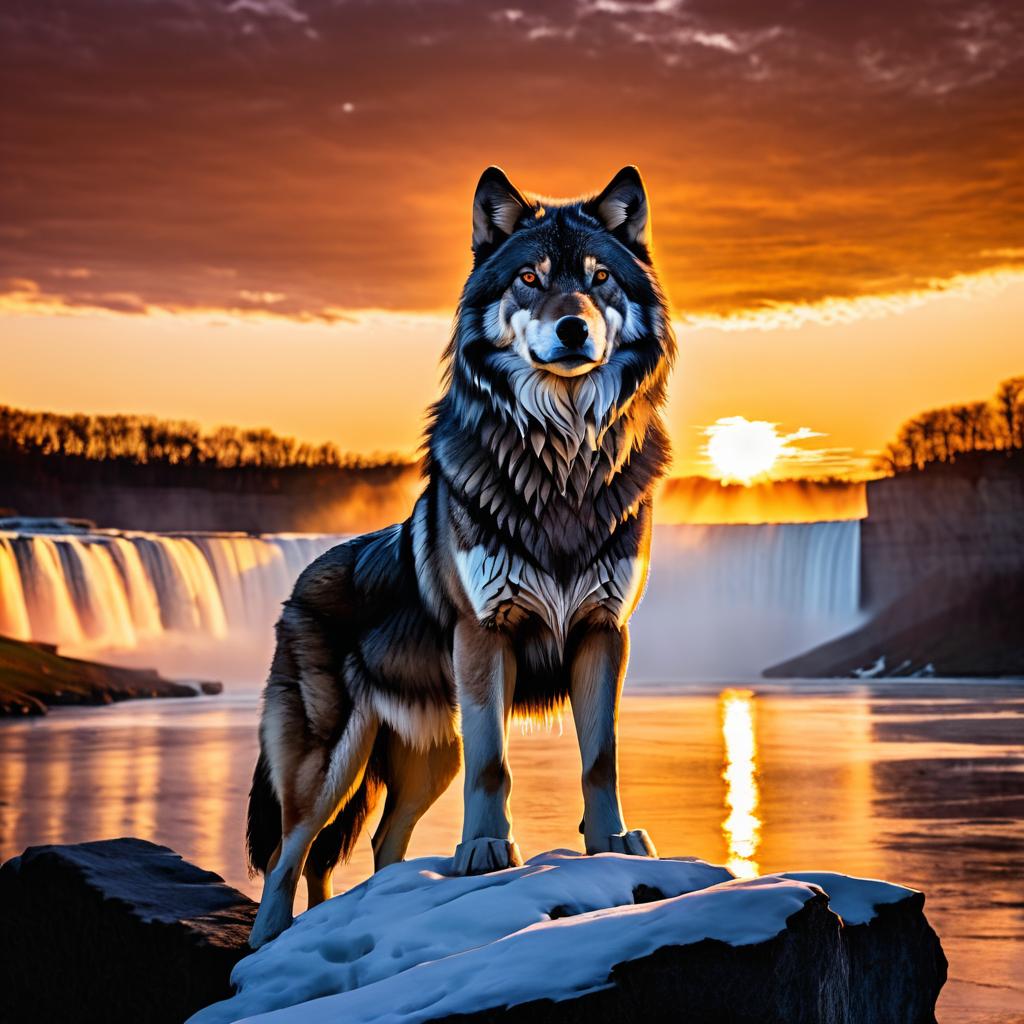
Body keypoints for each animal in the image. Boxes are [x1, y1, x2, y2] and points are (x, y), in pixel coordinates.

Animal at [246, 165, 675, 942]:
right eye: (531, 279)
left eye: (599, 278)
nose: (574, 327)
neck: (562, 458)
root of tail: (296, 585)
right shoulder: (484, 635)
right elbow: (495, 767)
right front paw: (483, 851)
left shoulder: (604, 632)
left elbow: (599, 759)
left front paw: (611, 845)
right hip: (330, 765)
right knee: (286, 859)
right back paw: (265, 947)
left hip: (426, 756)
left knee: (375, 847)